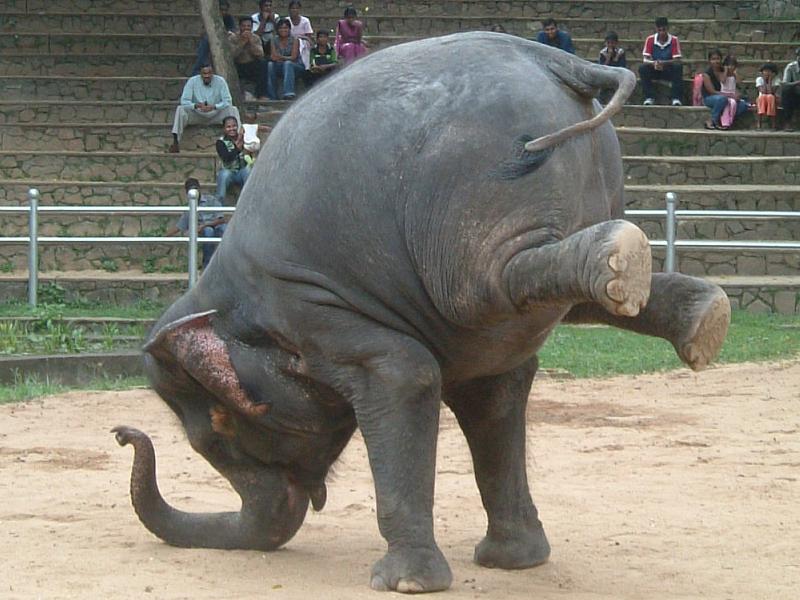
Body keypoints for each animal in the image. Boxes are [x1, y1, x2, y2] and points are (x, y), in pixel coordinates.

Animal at [113, 32, 730, 593]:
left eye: (216, 434)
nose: (123, 434)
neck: (220, 293)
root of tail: (558, 59)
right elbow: (494, 392)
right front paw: (514, 561)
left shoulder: (311, 311)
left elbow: (405, 375)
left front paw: (403, 582)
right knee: (561, 298)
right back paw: (697, 312)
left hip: (470, 198)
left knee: (487, 281)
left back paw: (624, 261)